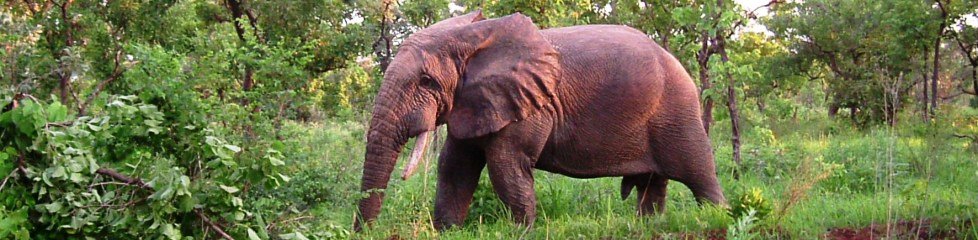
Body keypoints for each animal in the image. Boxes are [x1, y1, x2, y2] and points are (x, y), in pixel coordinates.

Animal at [354, 10, 720, 231]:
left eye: (427, 81)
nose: (365, 232)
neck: (475, 37)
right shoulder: (472, 101)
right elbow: (455, 167)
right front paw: (447, 231)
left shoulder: (531, 104)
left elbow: (505, 166)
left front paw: (520, 232)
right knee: (654, 184)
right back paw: (649, 228)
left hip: (677, 109)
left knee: (699, 173)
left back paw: (717, 216)